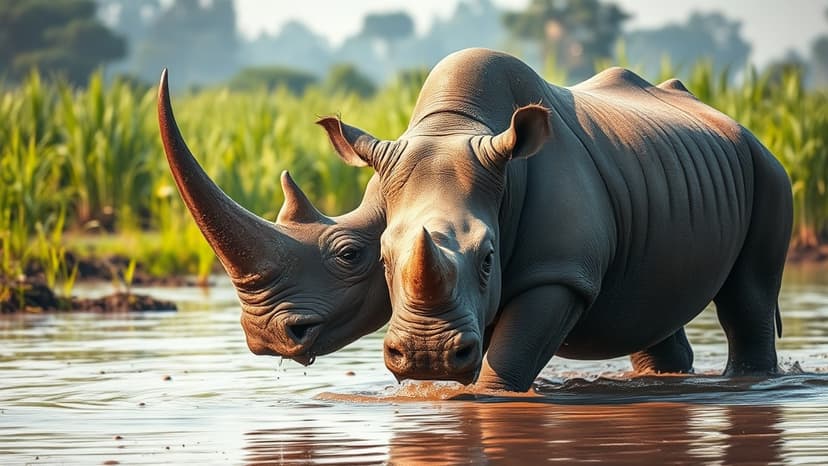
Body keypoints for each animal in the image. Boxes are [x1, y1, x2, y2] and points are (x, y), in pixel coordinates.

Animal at [318, 48, 792, 392]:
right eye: (382, 259)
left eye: (489, 259)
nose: (426, 356)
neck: (455, 127)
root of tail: (740, 126)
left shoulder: (559, 270)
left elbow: (510, 355)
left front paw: (489, 396)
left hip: (768, 169)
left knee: (748, 297)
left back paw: (750, 379)